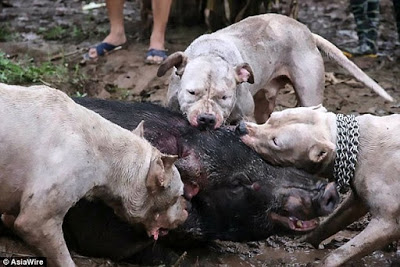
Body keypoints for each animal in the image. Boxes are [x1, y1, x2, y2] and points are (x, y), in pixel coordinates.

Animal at [157, 13, 394, 131]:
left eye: (224, 97)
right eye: (192, 92)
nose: (206, 119)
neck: (212, 53)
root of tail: (307, 31)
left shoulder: (244, 114)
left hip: (309, 94)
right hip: (265, 103)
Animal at [239, 105, 400, 266]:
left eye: (275, 142)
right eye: (271, 117)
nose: (241, 127)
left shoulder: (385, 224)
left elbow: (342, 252)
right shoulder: (356, 200)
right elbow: (332, 222)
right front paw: (303, 242)